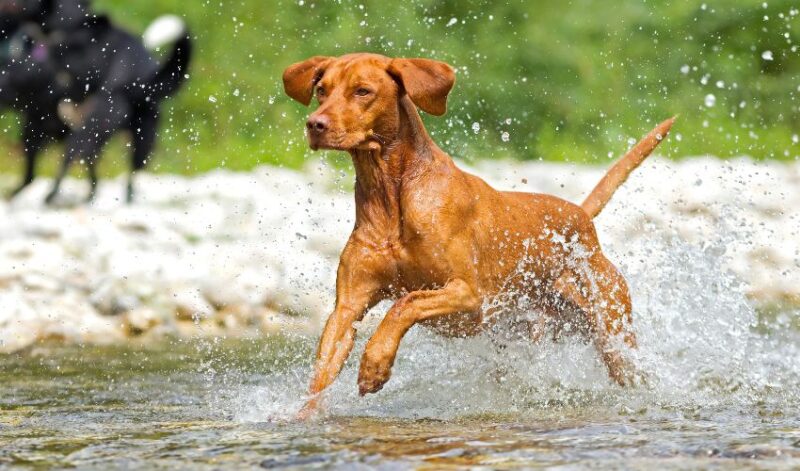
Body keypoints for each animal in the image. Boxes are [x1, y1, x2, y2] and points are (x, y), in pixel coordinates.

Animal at [0, 1, 191, 205]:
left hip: (102, 126)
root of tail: (137, 76)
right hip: (136, 135)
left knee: (75, 155)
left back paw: (53, 196)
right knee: (115, 169)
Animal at [284, 53, 672, 418]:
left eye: (362, 91)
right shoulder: (347, 307)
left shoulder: (468, 295)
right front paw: (304, 415)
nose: (314, 124)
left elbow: (403, 304)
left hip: (613, 334)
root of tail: (581, 216)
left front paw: (375, 363)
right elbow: (322, 372)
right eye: (322, 90)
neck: (390, 195)